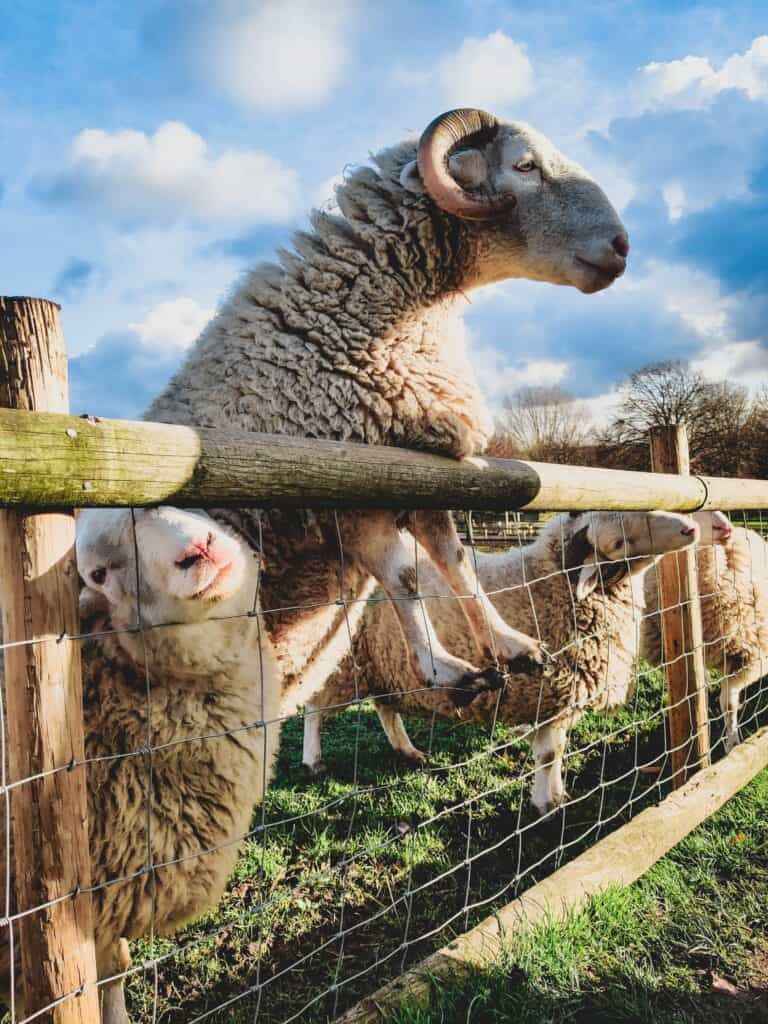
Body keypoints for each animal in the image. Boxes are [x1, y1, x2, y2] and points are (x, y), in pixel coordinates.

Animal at [145, 107, 629, 707]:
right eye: (525, 165)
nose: (622, 245)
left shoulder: (423, 472)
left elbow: (456, 563)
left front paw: (509, 644)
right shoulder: (351, 492)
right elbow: (406, 579)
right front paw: (444, 670)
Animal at [301, 510, 699, 815]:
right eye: (618, 543)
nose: (690, 528)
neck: (547, 582)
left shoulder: (559, 700)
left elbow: (557, 751)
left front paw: (557, 794)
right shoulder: (549, 692)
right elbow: (549, 753)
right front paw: (547, 805)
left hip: (383, 664)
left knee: (385, 708)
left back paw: (408, 751)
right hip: (341, 664)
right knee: (314, 709)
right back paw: (313, 760)